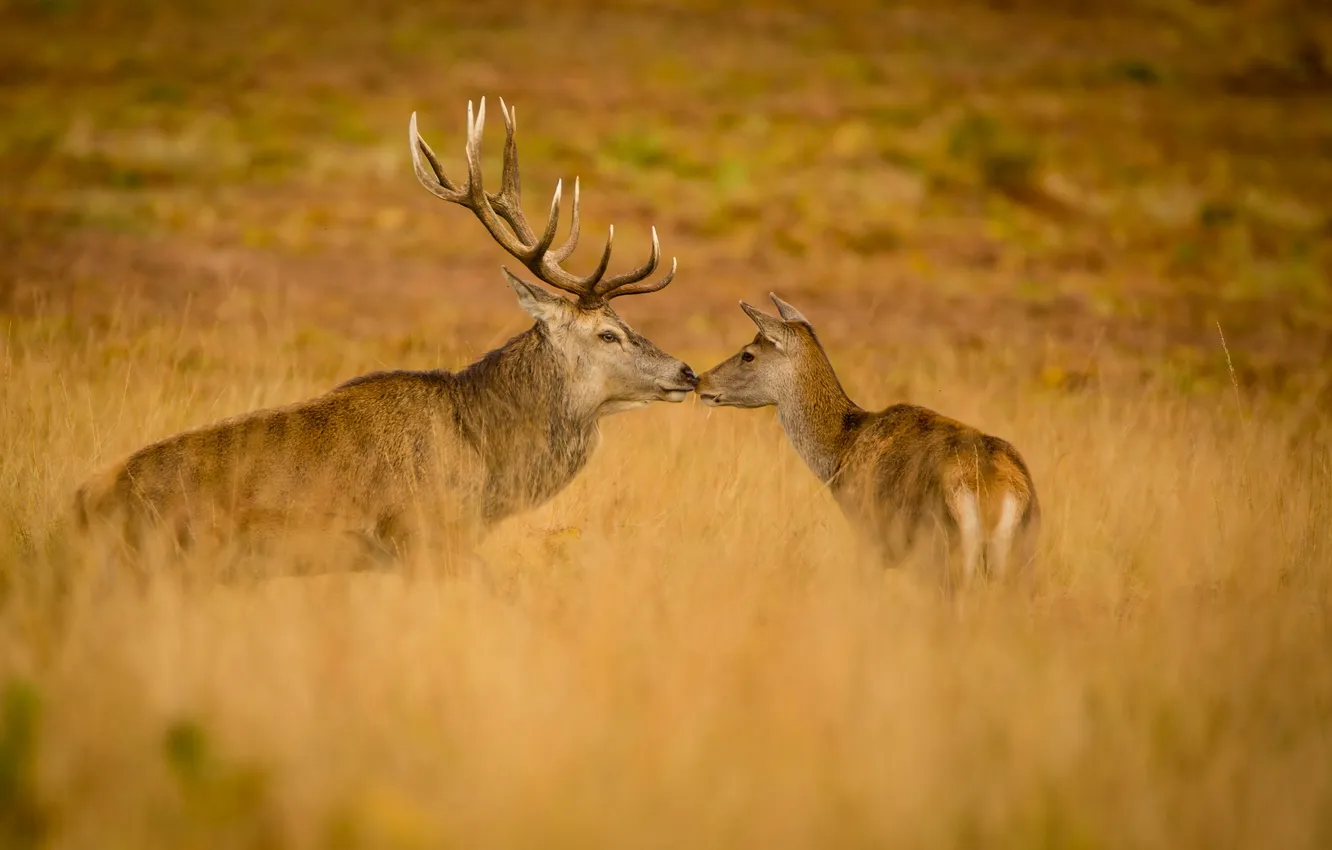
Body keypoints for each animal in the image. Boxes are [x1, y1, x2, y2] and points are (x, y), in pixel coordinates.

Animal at [697, 295, 1038, 588]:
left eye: (748, 354)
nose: (700, 380)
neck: (841, 450)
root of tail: (995, 494)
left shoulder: (869, 535)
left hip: (940, 551)